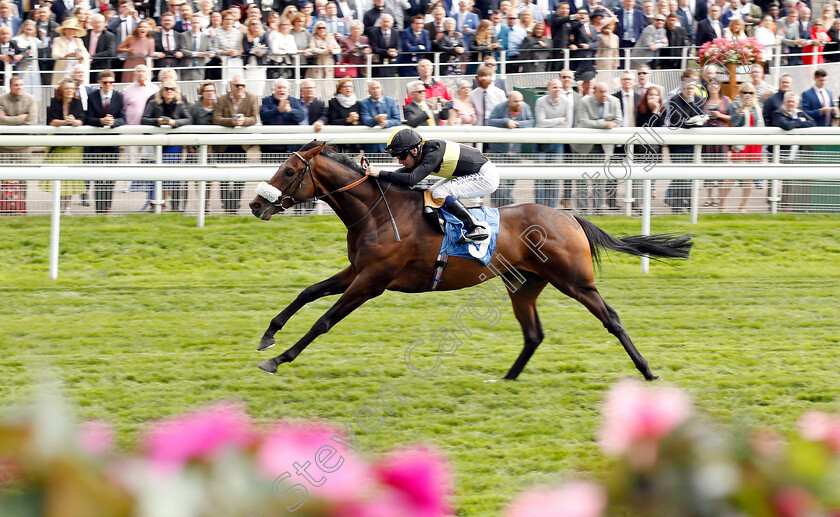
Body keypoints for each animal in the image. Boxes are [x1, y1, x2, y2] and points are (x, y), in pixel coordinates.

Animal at [249, 141, 696, 378]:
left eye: (288, 171)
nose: (255, 204)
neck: (378, 212)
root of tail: (568, 216)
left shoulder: (371, 281)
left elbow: (324, 321)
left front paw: (278, 358)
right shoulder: (357, 271)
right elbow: (308, 293)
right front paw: (268, 335)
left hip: (575, 281)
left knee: (612, 319)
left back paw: (647, 370)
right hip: (523, 284)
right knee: (533, 334)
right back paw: (507, 378)